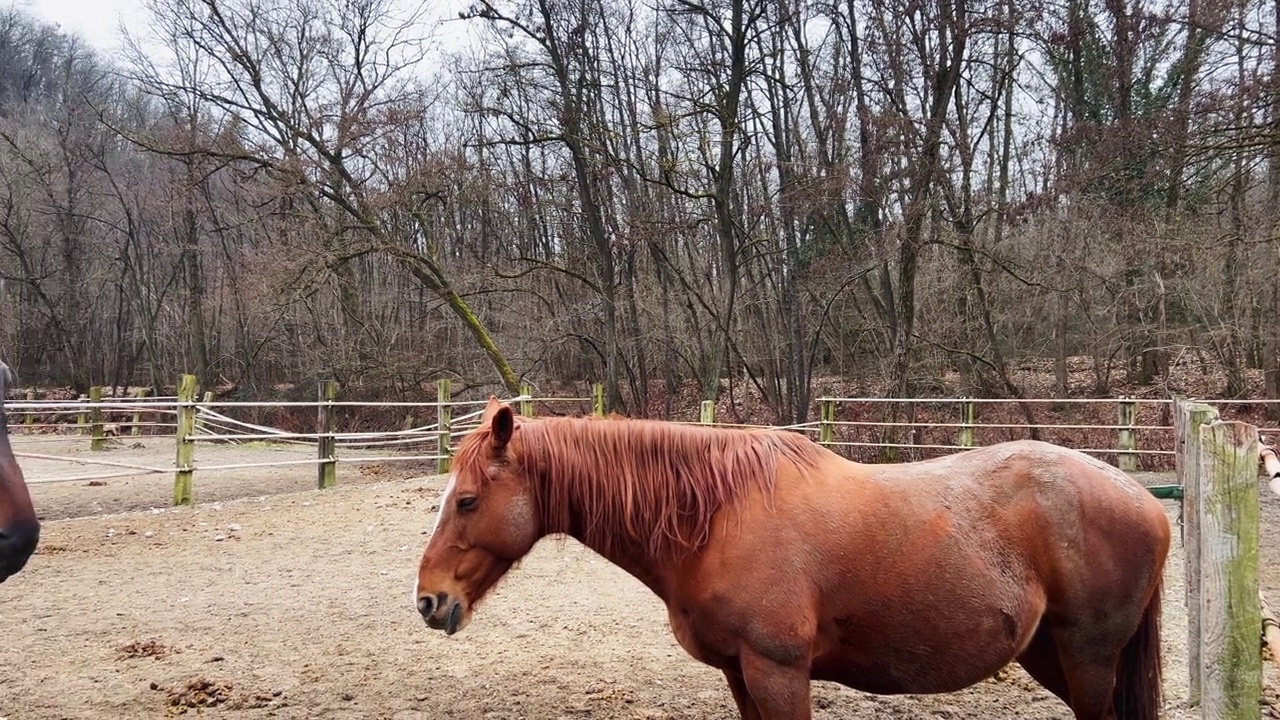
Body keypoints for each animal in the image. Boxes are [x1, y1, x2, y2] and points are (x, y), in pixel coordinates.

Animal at [414, 397, 1167, 717]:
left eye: (469, 500)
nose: (428, 600)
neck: (717, 517)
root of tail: (1147, 500)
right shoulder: (740, 674)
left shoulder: (778, 671)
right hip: (1052, 656)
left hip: (1087, 659)